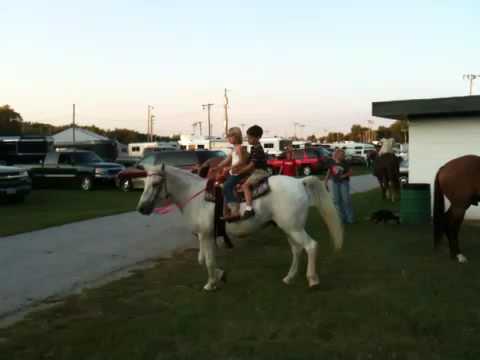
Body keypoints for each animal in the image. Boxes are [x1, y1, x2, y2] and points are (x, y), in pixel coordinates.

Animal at [137, 165, 344, 292]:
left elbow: (208, 261)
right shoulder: (204, 236)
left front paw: (210, 284)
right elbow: (203, 260)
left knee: (311, 246)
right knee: (297, 250)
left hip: (294, 228)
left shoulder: (206, 235)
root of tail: (299, 182)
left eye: (155, 183)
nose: (142, 208)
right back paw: (289, 277)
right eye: (144, 183)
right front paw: (220, 276)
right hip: (289, 227)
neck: (195, 196)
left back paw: (313, 280)